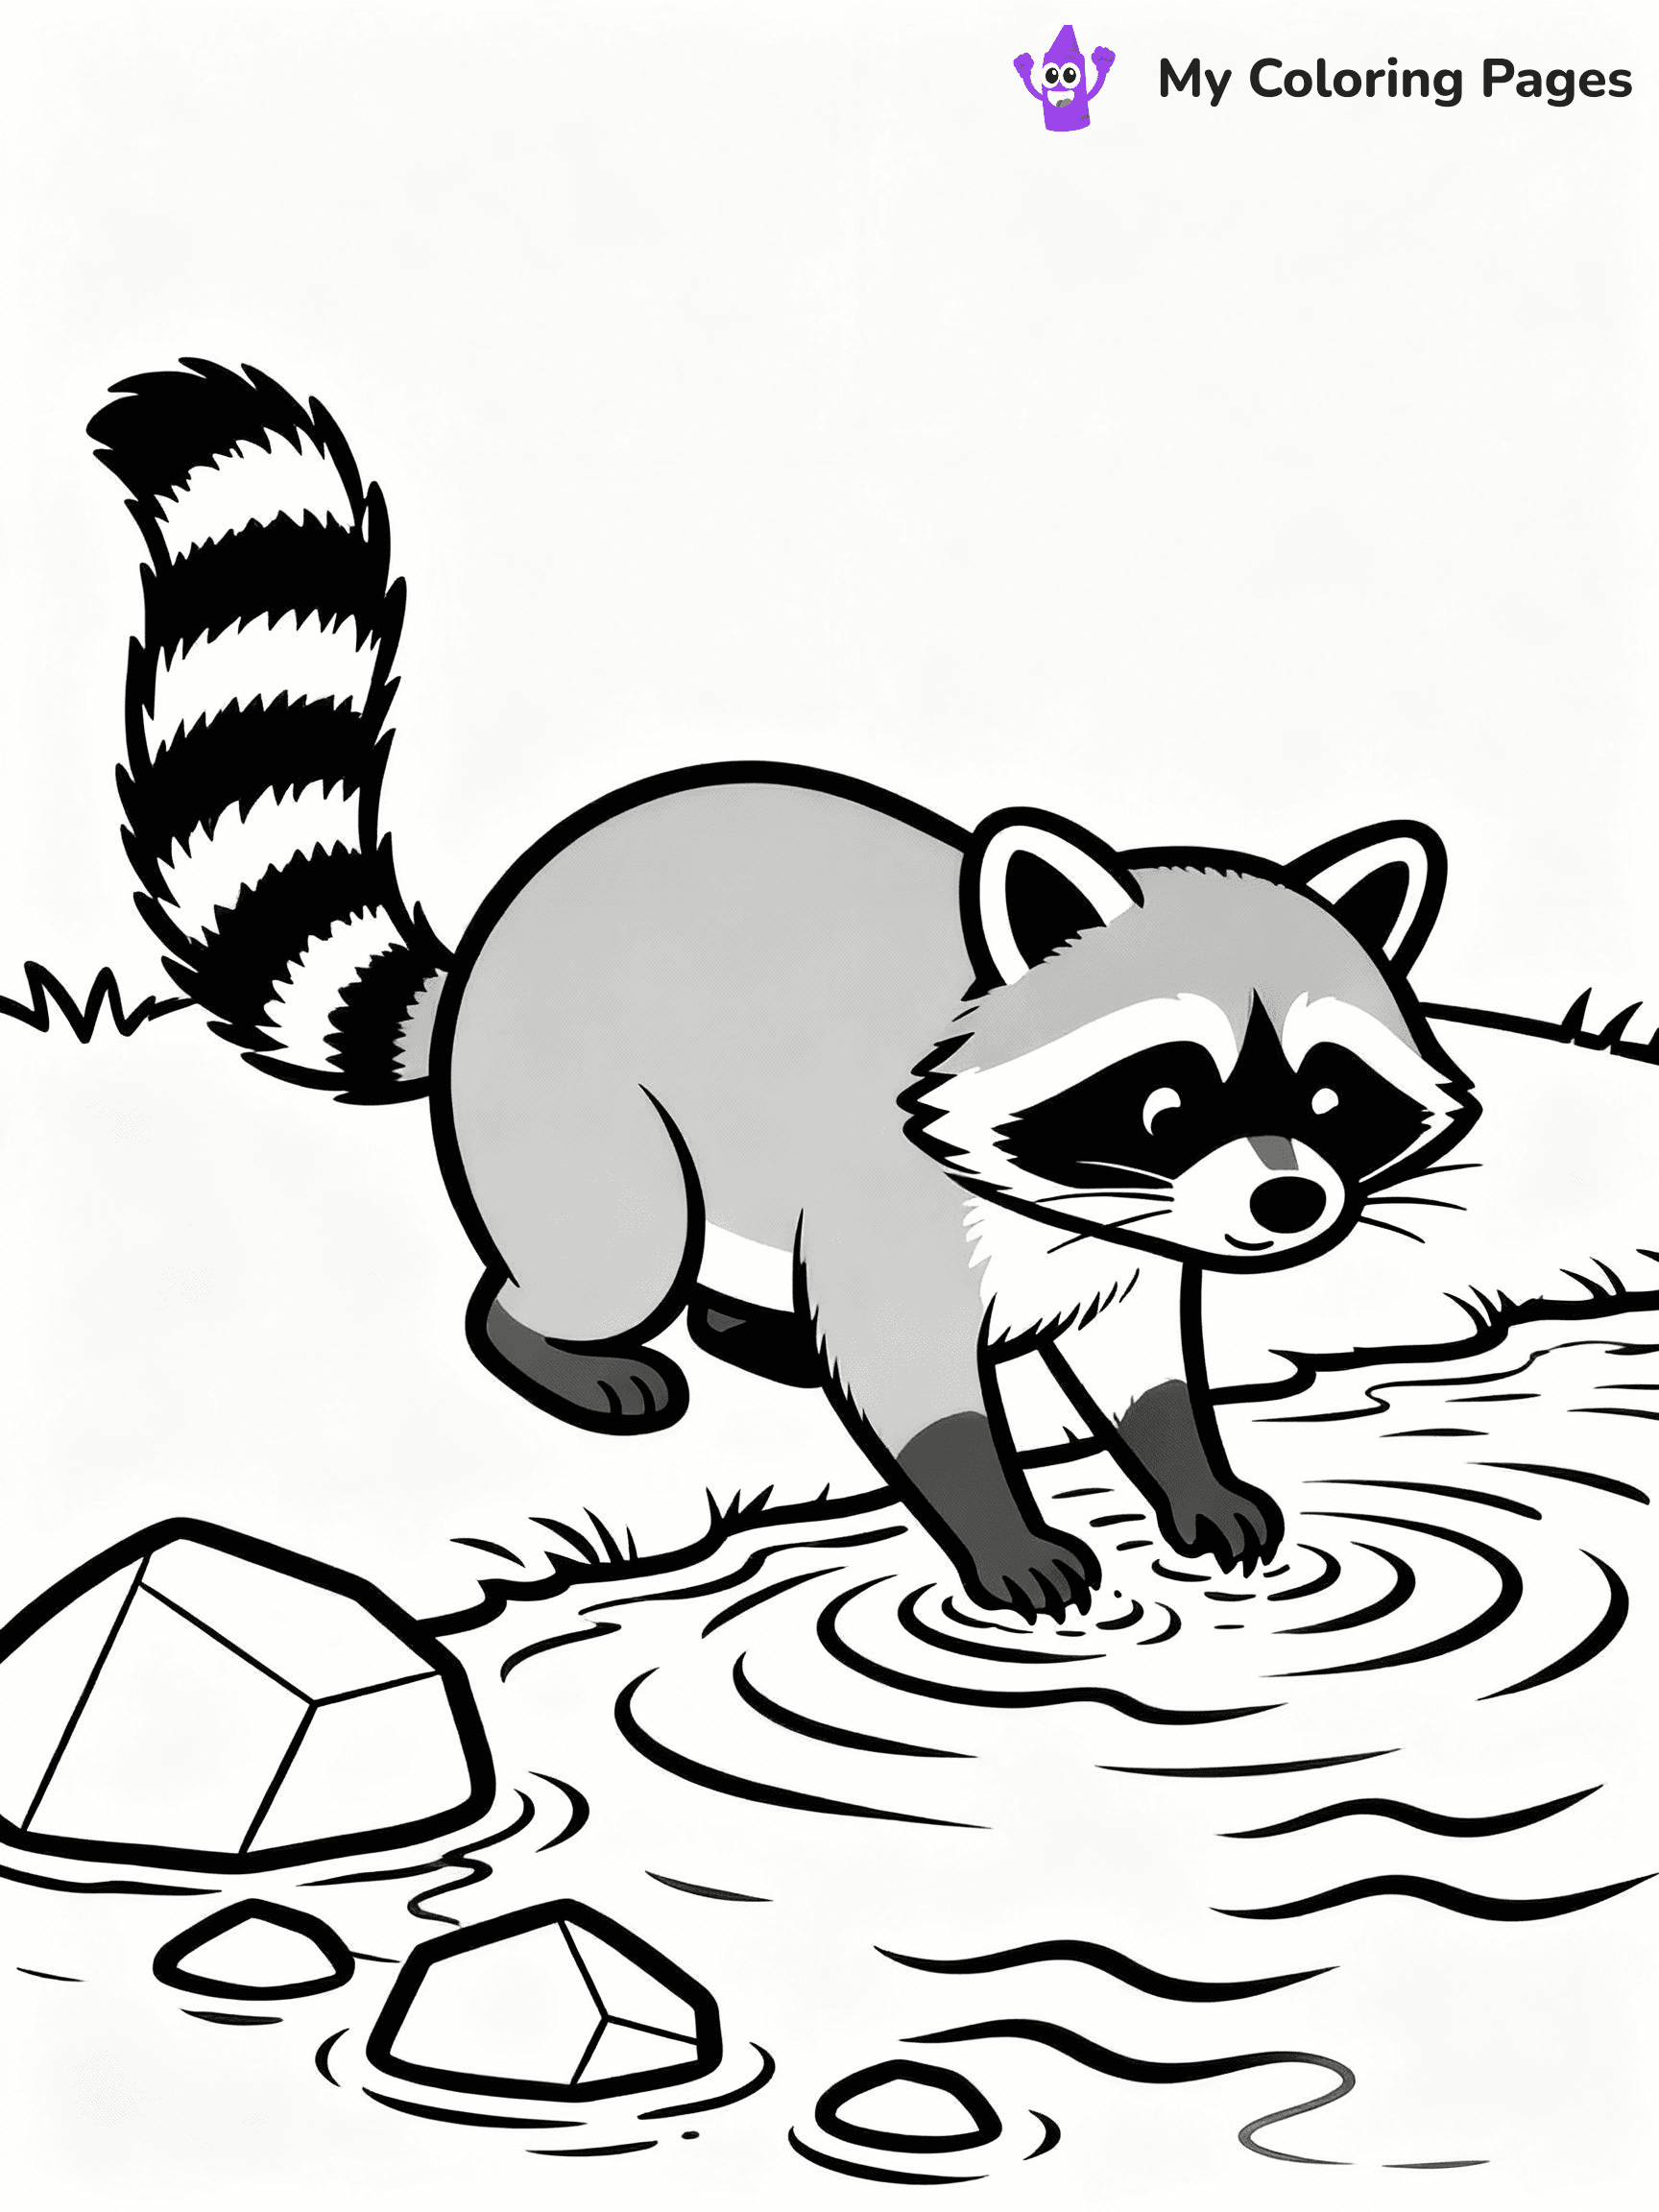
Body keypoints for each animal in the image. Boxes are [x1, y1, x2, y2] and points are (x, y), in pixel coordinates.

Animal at [91, 361, 1481, 1621]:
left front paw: (1195, 1476)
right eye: (1164, 1104)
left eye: (1330, 1097)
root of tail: (497, 939)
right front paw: (1001, 1531)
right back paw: (560, 1339)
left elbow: (1145, 1372)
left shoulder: (1130, 1246)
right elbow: (920, 1389)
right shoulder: (904, 1210)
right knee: (608, 1254)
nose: (1292, 1204)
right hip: (581, 1119)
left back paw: (747, 1321)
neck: (1075, 1198)